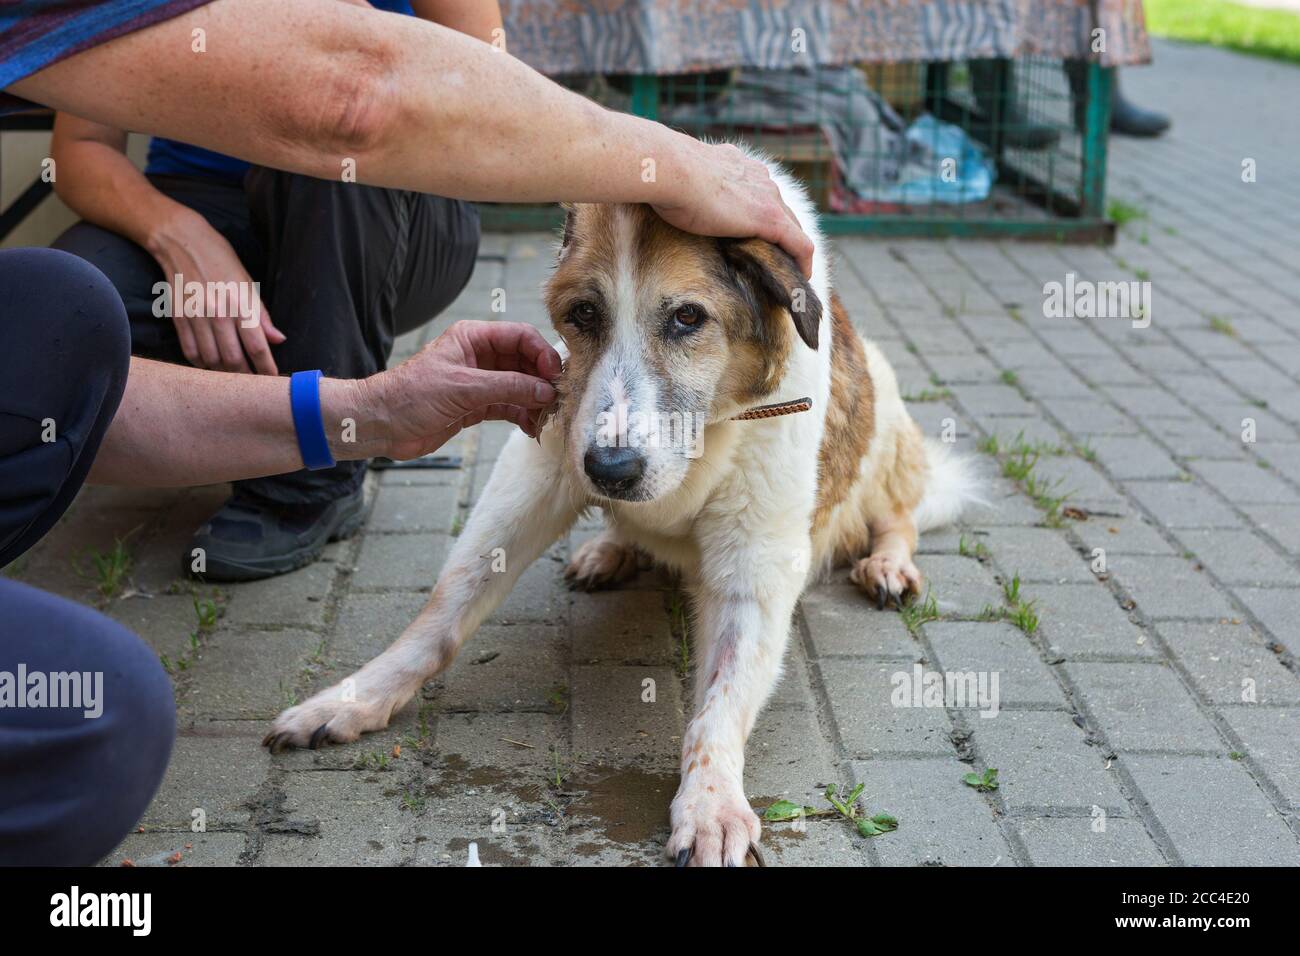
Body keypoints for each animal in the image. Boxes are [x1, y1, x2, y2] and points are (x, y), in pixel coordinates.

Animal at [263, 149, 977, 868]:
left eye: (688, 318)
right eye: (583, 314)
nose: (609, 471)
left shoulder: (756, 559)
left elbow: (717, 704)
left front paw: (710, 803)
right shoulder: (537, 470)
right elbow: (446, 607)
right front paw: (357, 696)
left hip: (886, 412)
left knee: (901, 510)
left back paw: (888, 565)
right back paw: (609, 550)